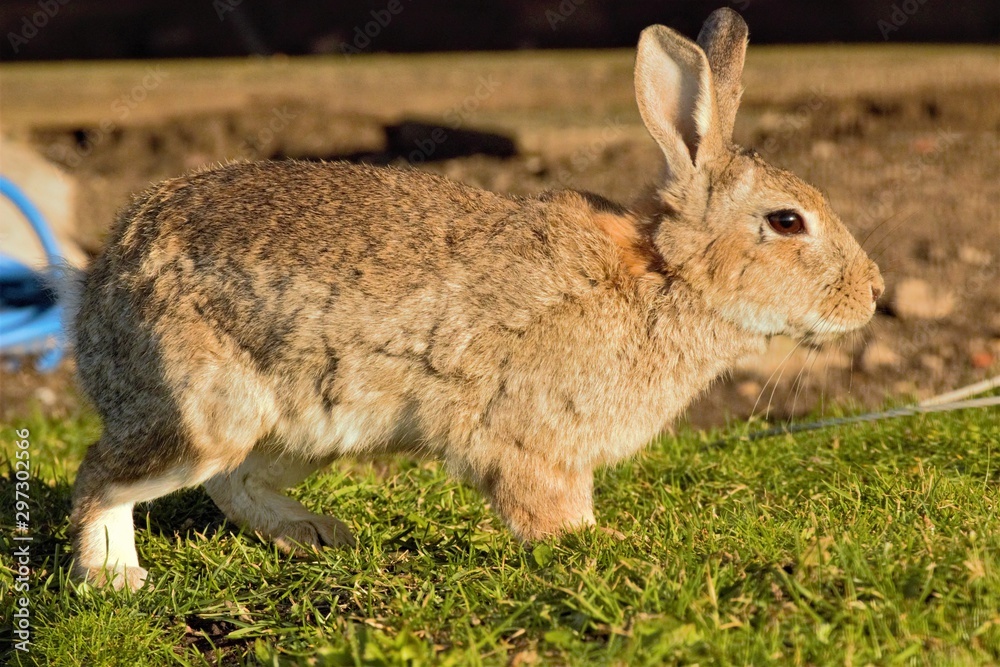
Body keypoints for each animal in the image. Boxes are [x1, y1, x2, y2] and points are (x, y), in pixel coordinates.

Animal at [68, 8, 883, 591]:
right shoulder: (533, 440)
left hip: (309, 427)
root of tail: (101, 292)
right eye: (787, 222)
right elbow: (550, 511)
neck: (663, 276)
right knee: (102, 476)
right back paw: (114, 578)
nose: (872, 291)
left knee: (234, 482)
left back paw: (319, 534)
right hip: (207, 411)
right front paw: (608, 546)